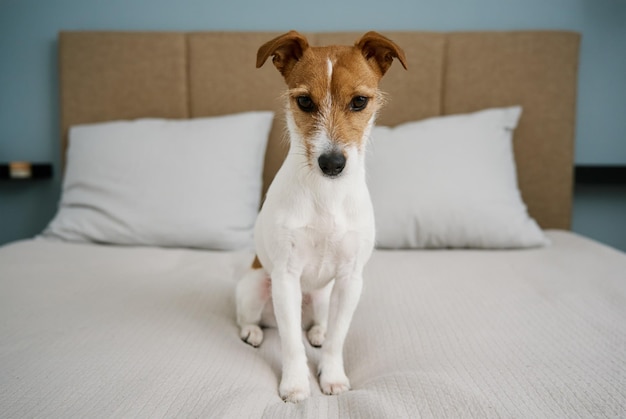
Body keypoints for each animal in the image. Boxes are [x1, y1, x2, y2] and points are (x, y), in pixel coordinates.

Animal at [234, 29, 404, 404]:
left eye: (359, 101)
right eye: (305, 102)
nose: (332, 163)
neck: (327, 195)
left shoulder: (350, 280)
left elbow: (337, 339)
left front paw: (333, 376)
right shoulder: (285, 278)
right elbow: (290, 344)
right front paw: (296, 384)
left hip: (324, 298)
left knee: (317, 325)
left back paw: (316, 332)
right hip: (256, 286)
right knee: (253, 320)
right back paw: (253, 332)